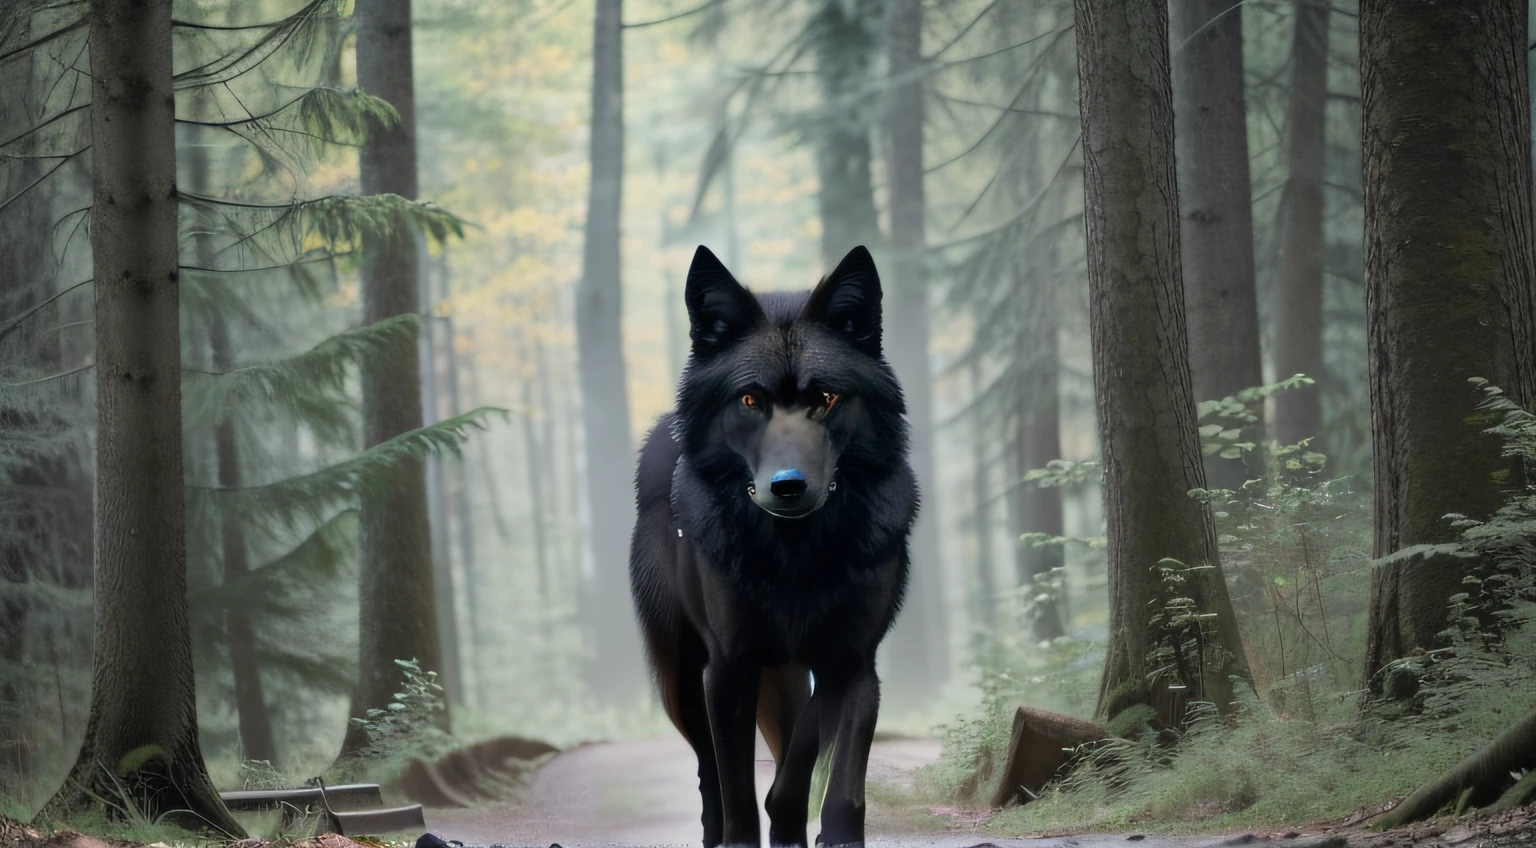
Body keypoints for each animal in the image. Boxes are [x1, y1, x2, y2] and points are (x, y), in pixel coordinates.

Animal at [623, 242, 909, 848]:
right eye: (750, 399)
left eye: (825, 398)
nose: (789, 486)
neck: (795, 556)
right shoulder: (729, 667)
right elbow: (736, 787)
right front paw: (746, 832)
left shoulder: (852, 662)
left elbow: (825, 762)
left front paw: (822, 827)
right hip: (680, 681)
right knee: (706, 768)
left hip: (780, 678)